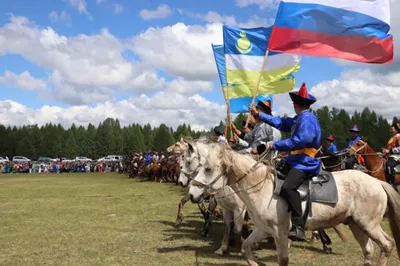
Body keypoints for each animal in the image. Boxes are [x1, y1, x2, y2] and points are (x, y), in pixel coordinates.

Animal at [189, 142, 400, 266]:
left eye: (208, 169)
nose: (191, 194)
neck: (262, 188)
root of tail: (377, 183)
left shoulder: (280, 233)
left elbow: (282, 259)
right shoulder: (263, 229)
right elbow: (246, 248)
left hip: (368, 224)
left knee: (387, 244)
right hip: (356, 225)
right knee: (369, 250)